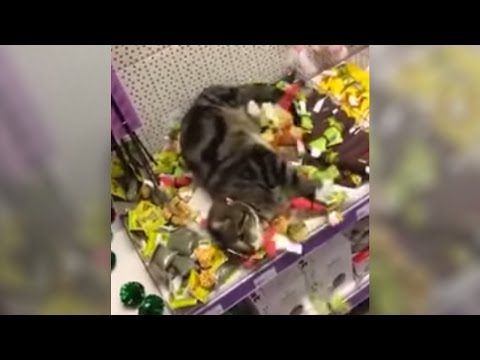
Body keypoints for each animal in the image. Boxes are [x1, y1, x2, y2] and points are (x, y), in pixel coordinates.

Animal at [179, 83, 316, 253]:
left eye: (241, 229)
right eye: (233, 251)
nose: (251, 250)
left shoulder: (263, 159)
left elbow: (298, 180)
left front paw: (319, 193)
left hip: (234, 98)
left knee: (266, 91)